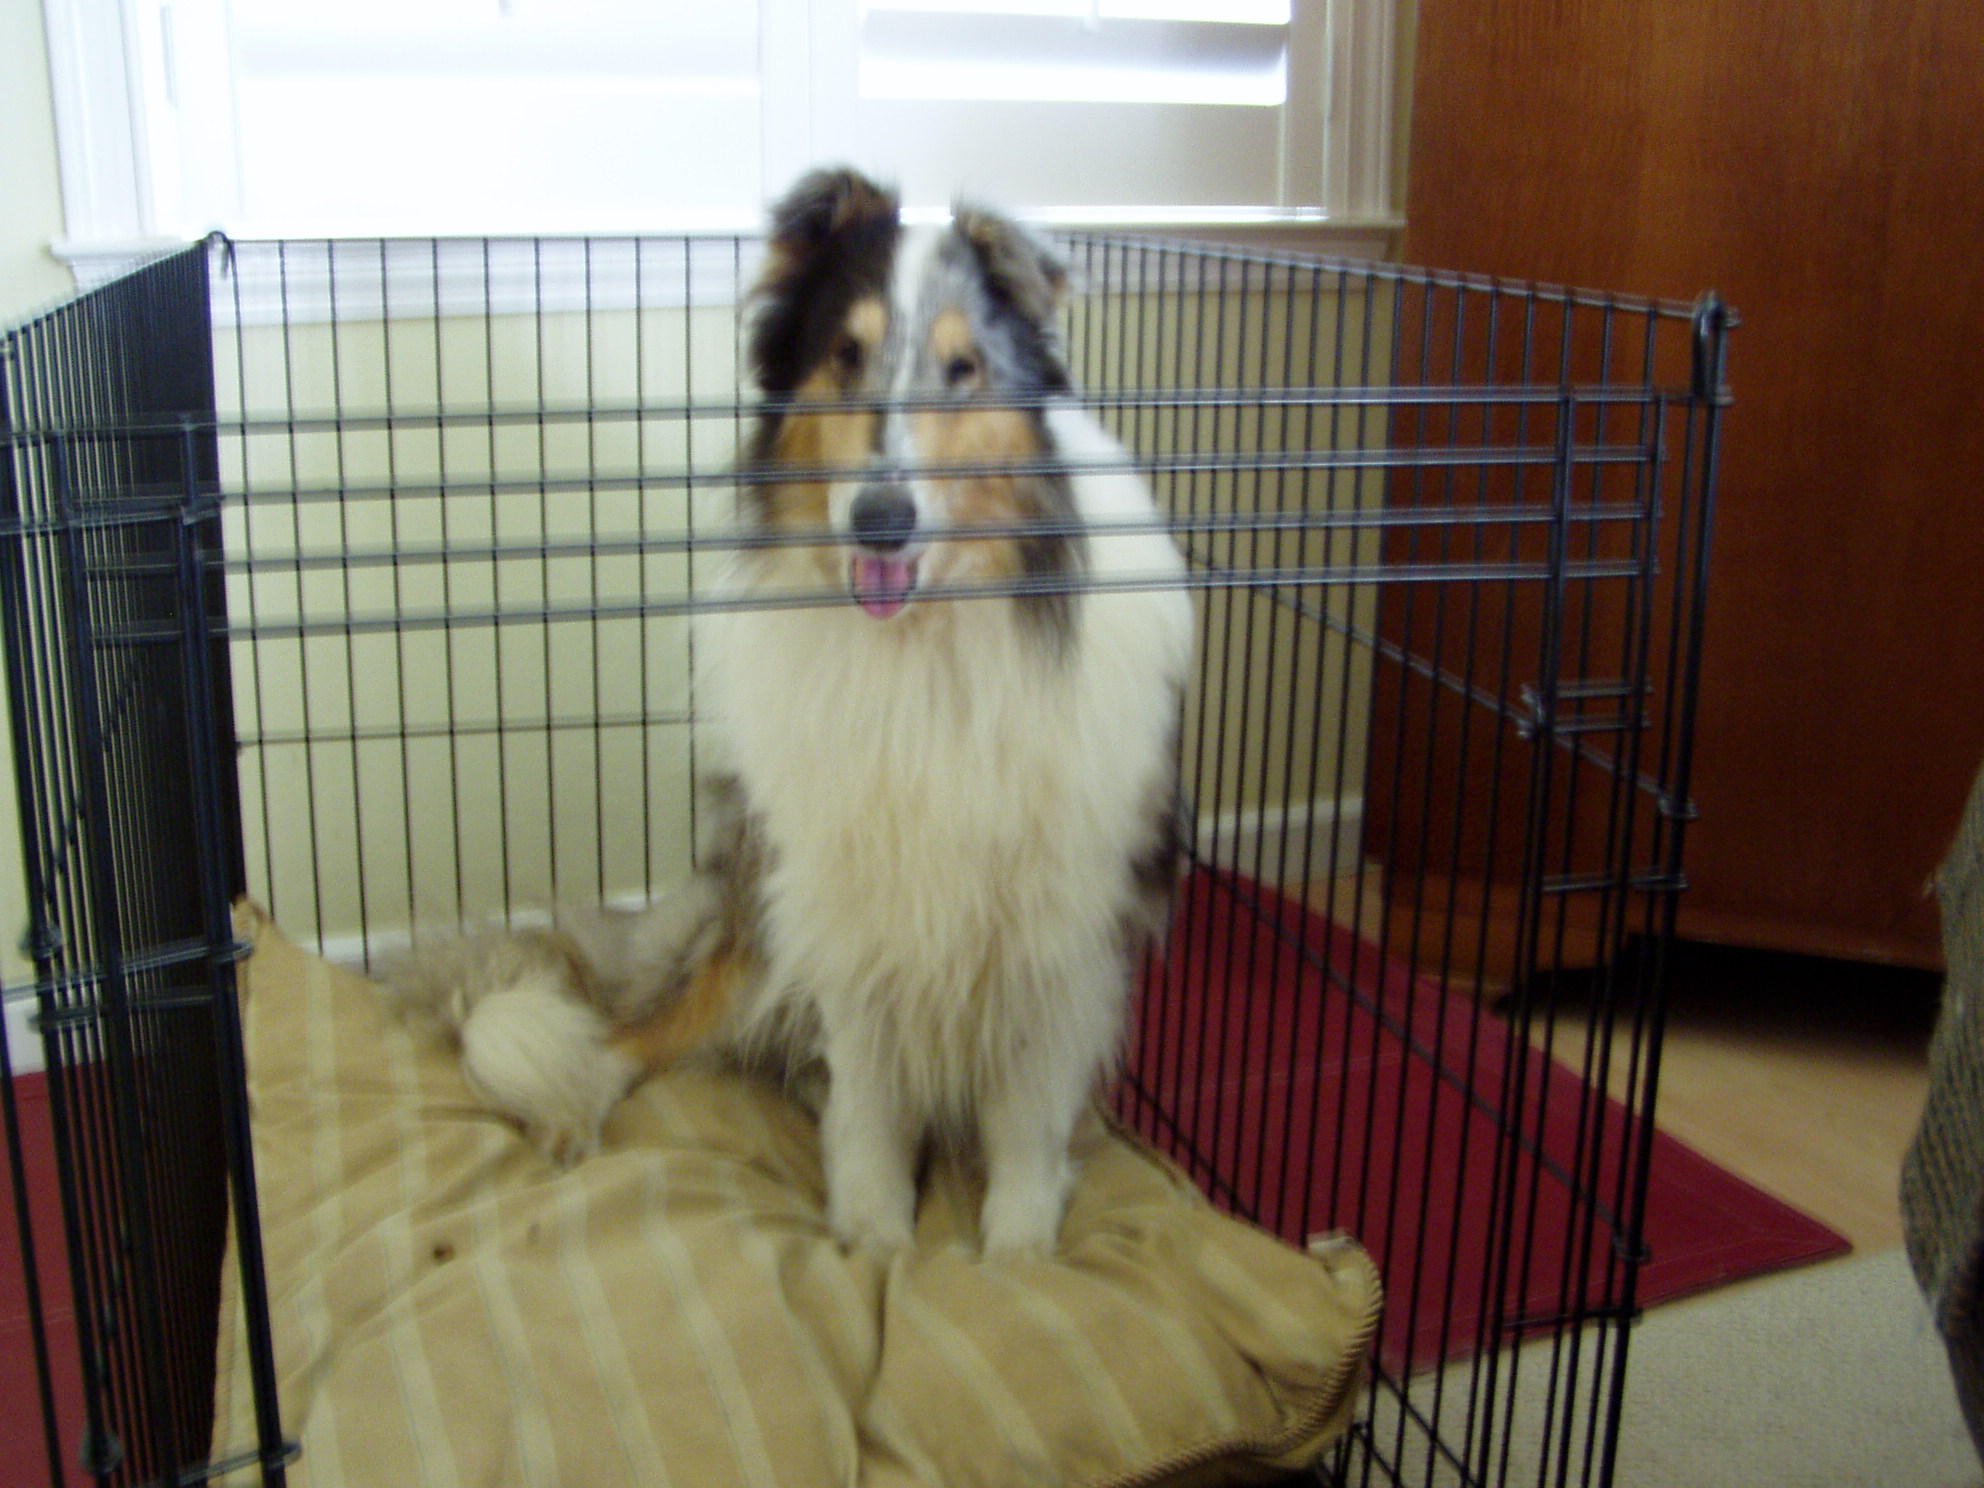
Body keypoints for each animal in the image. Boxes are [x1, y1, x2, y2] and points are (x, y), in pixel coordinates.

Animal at [394, 168, 1182, 1253]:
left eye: (963, 367)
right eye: (845, 354)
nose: (880, 521)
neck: (924, 645)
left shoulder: (1056, 927)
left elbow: (1023, 1114)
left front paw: (1017, 1251)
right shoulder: (845, 898)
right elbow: (873, 1105)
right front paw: (874, 1243)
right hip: (755, 915)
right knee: (633, 1032)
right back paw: (571, 1102)